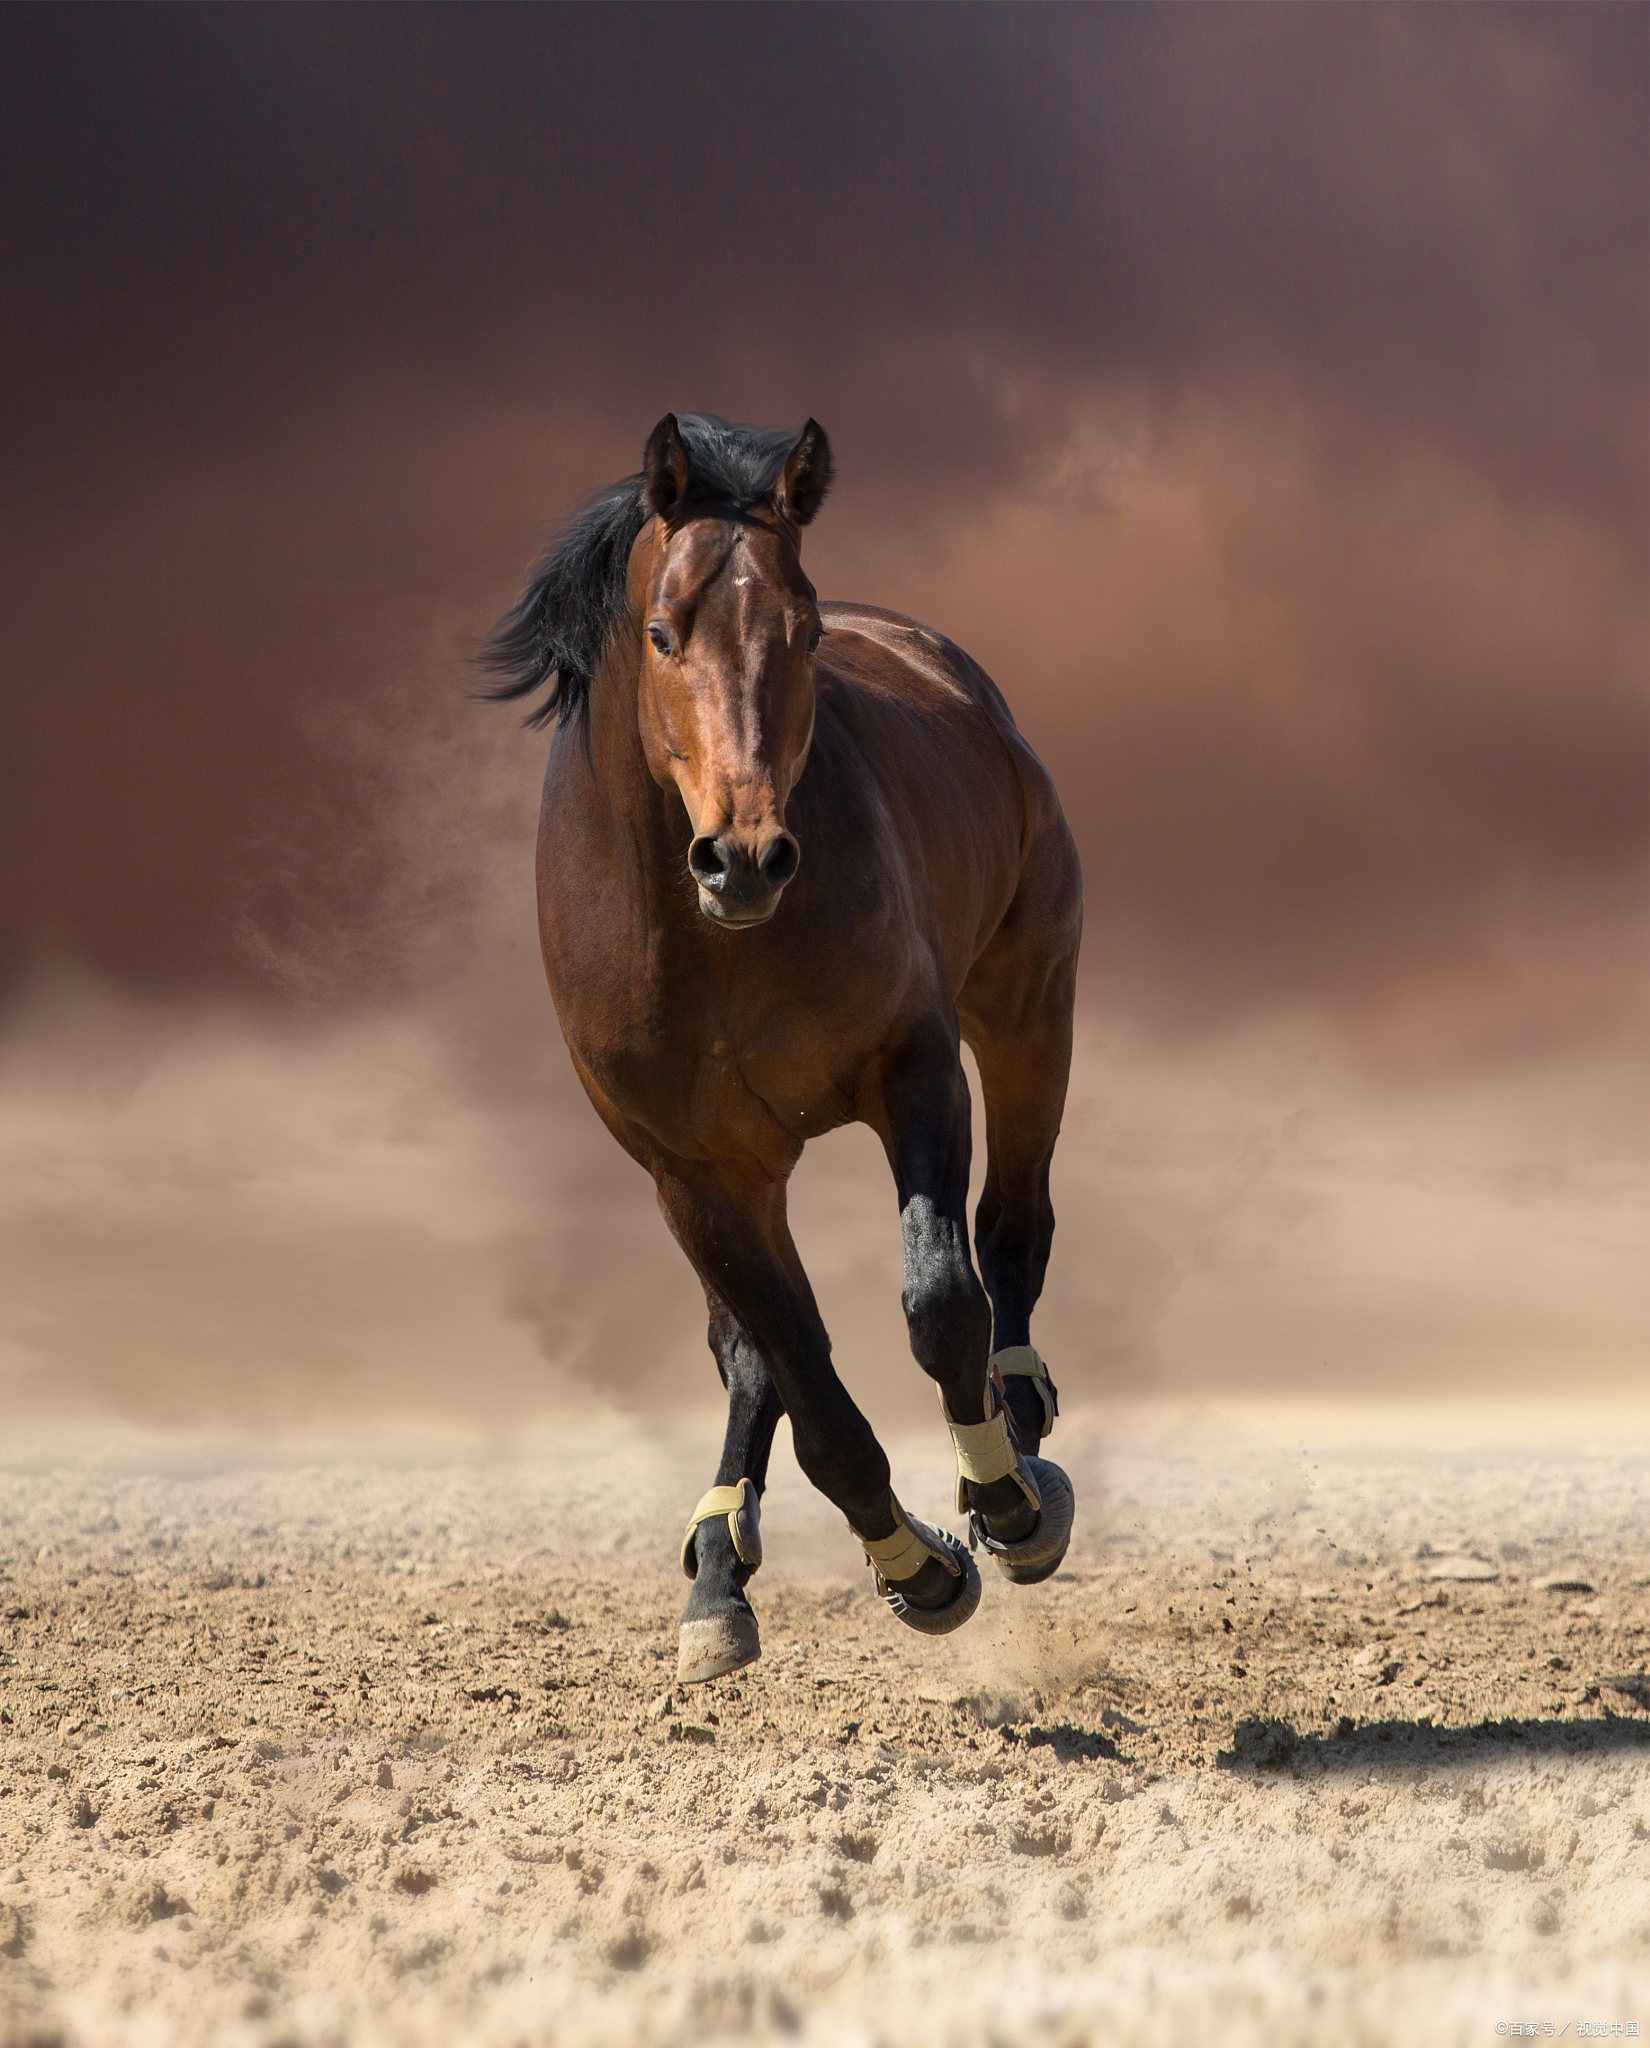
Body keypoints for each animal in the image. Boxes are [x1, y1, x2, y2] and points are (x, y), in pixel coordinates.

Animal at [481, 414, 1082, 1684]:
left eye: (801, 632)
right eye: (663, 631)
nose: (746, 855)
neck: (717, 945)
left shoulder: (915, 1068)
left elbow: (941, 1300)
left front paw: (1002, 1504)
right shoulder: (698, 1174)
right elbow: (802, 1384)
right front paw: (916, 1566)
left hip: (1029, 1002)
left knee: (1014, 1227)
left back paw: (1019, 1425)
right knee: (749, 1352)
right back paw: (718, 1566)